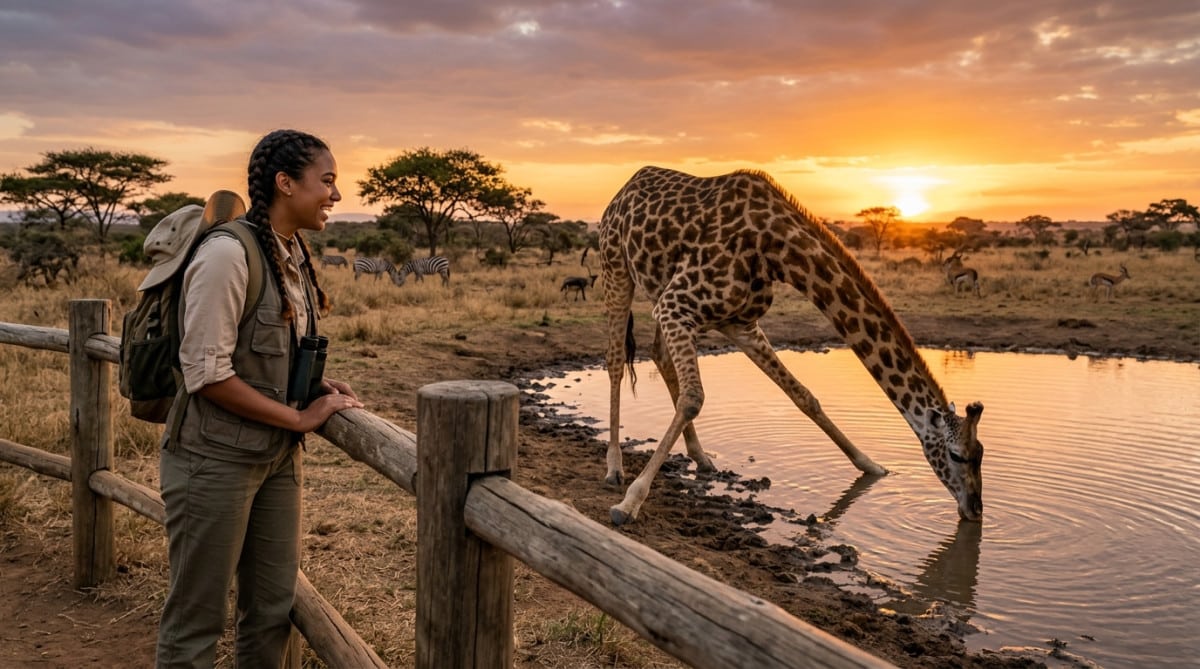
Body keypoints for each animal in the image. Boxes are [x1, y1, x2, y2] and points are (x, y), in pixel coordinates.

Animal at [599, 166, 985, 526]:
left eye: (981, 451)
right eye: (957, 455)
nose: (975, 510)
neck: (779, 251)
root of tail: (622, 191)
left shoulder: (739, 323)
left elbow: (803, 395)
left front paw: (871, 466)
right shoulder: (676, 304)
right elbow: (694, 397)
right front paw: (630, 502)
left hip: (660, 290)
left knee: (658, 356)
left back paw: (701, 456)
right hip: (616, 269)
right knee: (616, 361)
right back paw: (614, 467)